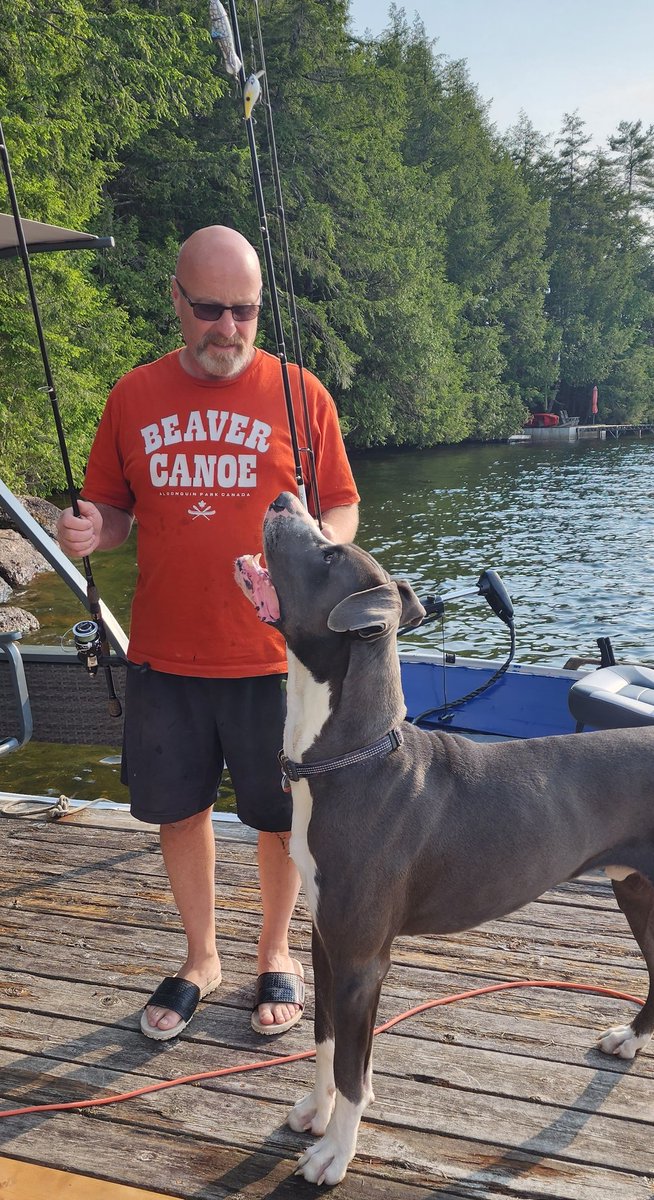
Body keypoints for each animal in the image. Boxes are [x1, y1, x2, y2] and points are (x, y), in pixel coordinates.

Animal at [235, 492, 652, 1185]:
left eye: (329, 552)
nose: (283, 497)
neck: (350, 758)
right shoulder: (326, 941)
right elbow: (324, 1041)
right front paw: (316, 1115)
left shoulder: (362, 960)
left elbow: (352, 1069)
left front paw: (334, 1154)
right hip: (637, 891)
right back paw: (629, 1038)